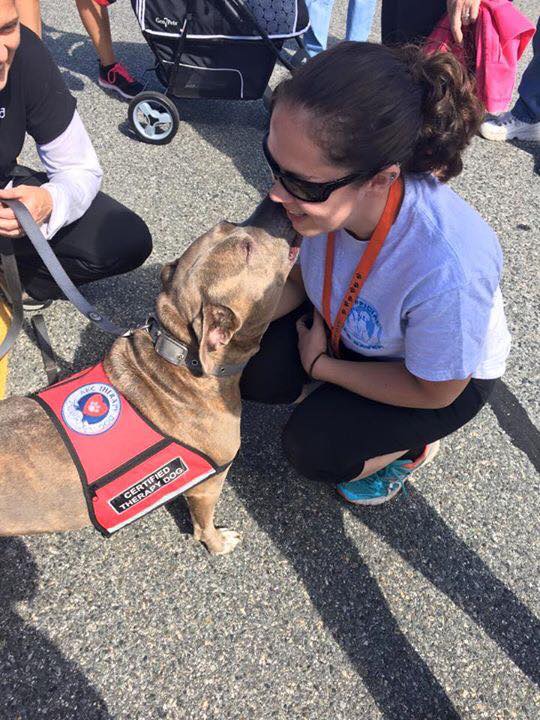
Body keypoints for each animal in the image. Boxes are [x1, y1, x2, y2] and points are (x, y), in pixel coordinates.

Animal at [0, 197, 300, 556]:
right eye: (247, 249)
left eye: (228, 224)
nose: (277, 201)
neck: (181, 357)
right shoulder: (209, 484)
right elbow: (203, 524)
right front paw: (218, 542)